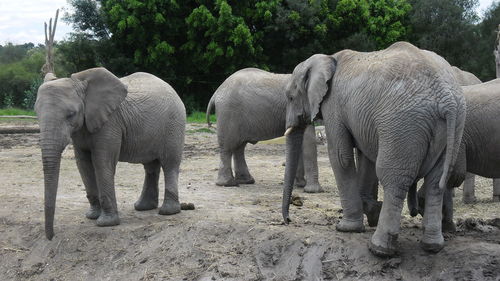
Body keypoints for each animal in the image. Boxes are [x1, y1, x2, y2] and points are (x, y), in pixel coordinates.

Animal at [35, 67, 186, 238]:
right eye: (36, 113)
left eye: (71, 114)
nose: (51, 236)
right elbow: (83, 165)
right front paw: (92, 216)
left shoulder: (110, 122)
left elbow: (102, 163)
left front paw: (106, 223)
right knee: (150, 166)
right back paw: (143, 207)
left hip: (174, 124)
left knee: (169, 164)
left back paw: (168, 211)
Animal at [282, 41, 464, 256]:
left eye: (290, 97)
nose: (288, 220)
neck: (327, 59)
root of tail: (446, 99)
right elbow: (365, 157)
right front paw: (370, 212)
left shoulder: (333, 105)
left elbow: (341, 156)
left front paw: (346, 228)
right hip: (453, 125)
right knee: (436, 182)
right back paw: (432, 246)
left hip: (402, 123)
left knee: (393, 179)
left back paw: (379, 249)